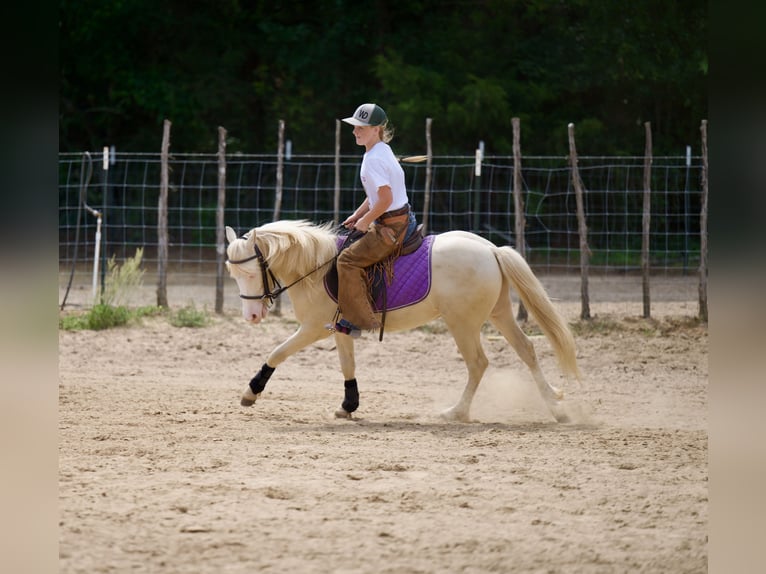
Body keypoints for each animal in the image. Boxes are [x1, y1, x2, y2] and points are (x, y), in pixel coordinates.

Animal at [225, 220, 582, 423]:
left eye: (250, 272)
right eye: (233, 274)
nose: (252, 316)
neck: (316, 266)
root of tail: (491, 249)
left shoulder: (312, 328)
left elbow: (278, 353)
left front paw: (251, 392)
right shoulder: (340, 329)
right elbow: (347, 364)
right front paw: (349, 405)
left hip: (463, 324)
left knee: (478, 364)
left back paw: (456, 413)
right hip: (500, 313)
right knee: (526, 350)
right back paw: (557, 408)